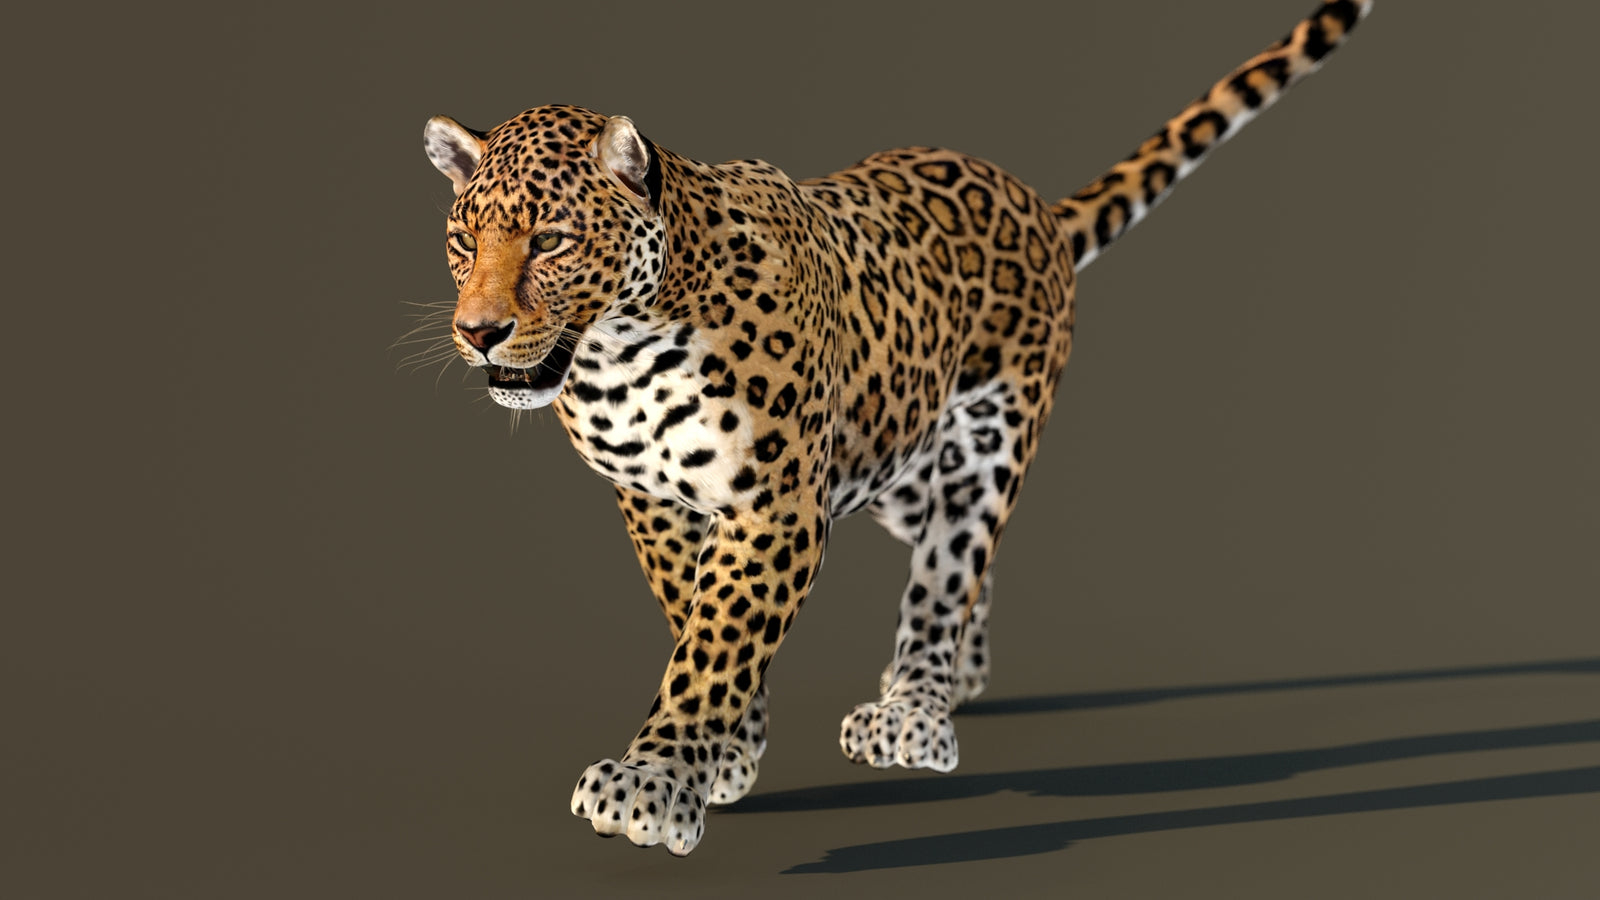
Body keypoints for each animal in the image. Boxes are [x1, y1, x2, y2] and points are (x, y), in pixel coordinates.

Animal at [418, 0, 1372, 856]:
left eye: (551, 241)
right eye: (463, 239)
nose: (478, 332)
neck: (621, 355)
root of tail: (1033, 203)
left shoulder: (778, 506)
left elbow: (717, 637)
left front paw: (654, 779)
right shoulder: (651, 498)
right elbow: (690, 609)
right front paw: (728, 750)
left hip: (986, 439)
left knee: (949, 569)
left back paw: (915, 708)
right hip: (893, 455)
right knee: (957, 557)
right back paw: (959, 675)